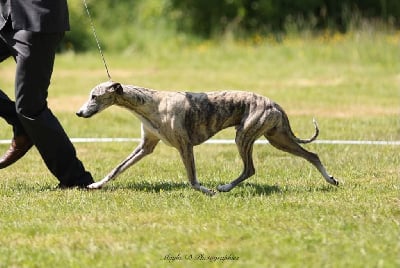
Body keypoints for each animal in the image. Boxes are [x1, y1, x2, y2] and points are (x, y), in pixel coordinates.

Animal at [76, 80, 338, 196]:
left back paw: (224, 187)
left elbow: (192, 179)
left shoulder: (185, 145)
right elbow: (117, 168)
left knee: (250, 169)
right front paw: (96, 184)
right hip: (277, 138)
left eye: (94, 96)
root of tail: (274, 104)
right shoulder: (145, 146)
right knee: (312, 155)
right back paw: (331, 179)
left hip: (244, 136)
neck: (151, 104)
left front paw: (207, 191)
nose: (78, 113)